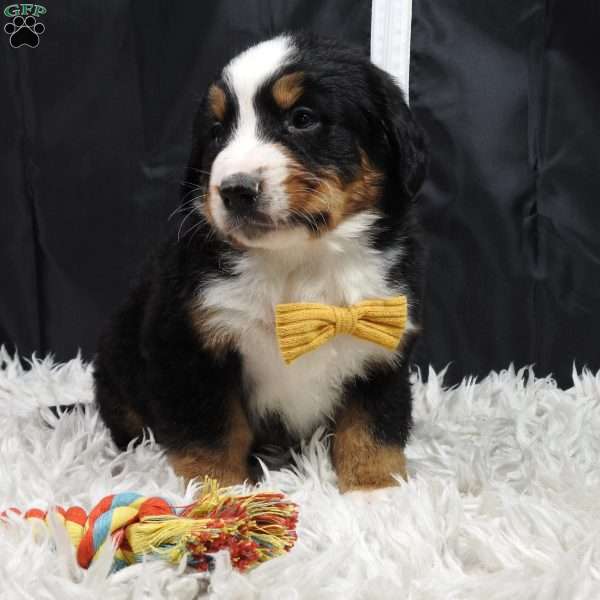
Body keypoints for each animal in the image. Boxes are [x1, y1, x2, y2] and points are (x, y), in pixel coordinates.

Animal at [94, 34, 426, 492]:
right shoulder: (188, 345)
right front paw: (218, 491)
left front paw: (375, 490)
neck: (299, 263)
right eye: (217, 131)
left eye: (302, 118)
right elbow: (211, 432)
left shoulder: (381, 337)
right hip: (117, 360)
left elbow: (373, 426)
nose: (236, 190)